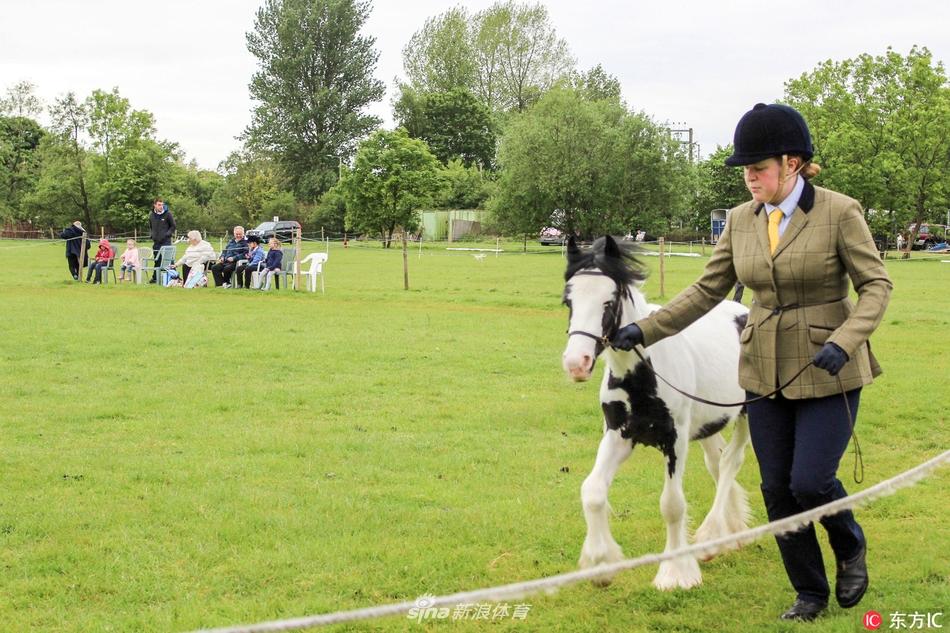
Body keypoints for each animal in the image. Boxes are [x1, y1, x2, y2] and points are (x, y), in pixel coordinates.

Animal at [564, 236, 752, 588]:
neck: (643, 373)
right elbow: (592, 491)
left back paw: (711, 537)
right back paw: (730, 532)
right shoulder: (618, 435)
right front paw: (600, 562)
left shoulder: (674, 440)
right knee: (717, 462)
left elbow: (672, 505)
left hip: (748, 417)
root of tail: (743, 310)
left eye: (609, 301)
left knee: (730, 463)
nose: (576, 364)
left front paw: (676, 573)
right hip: (708, 425)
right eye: (568, 300)